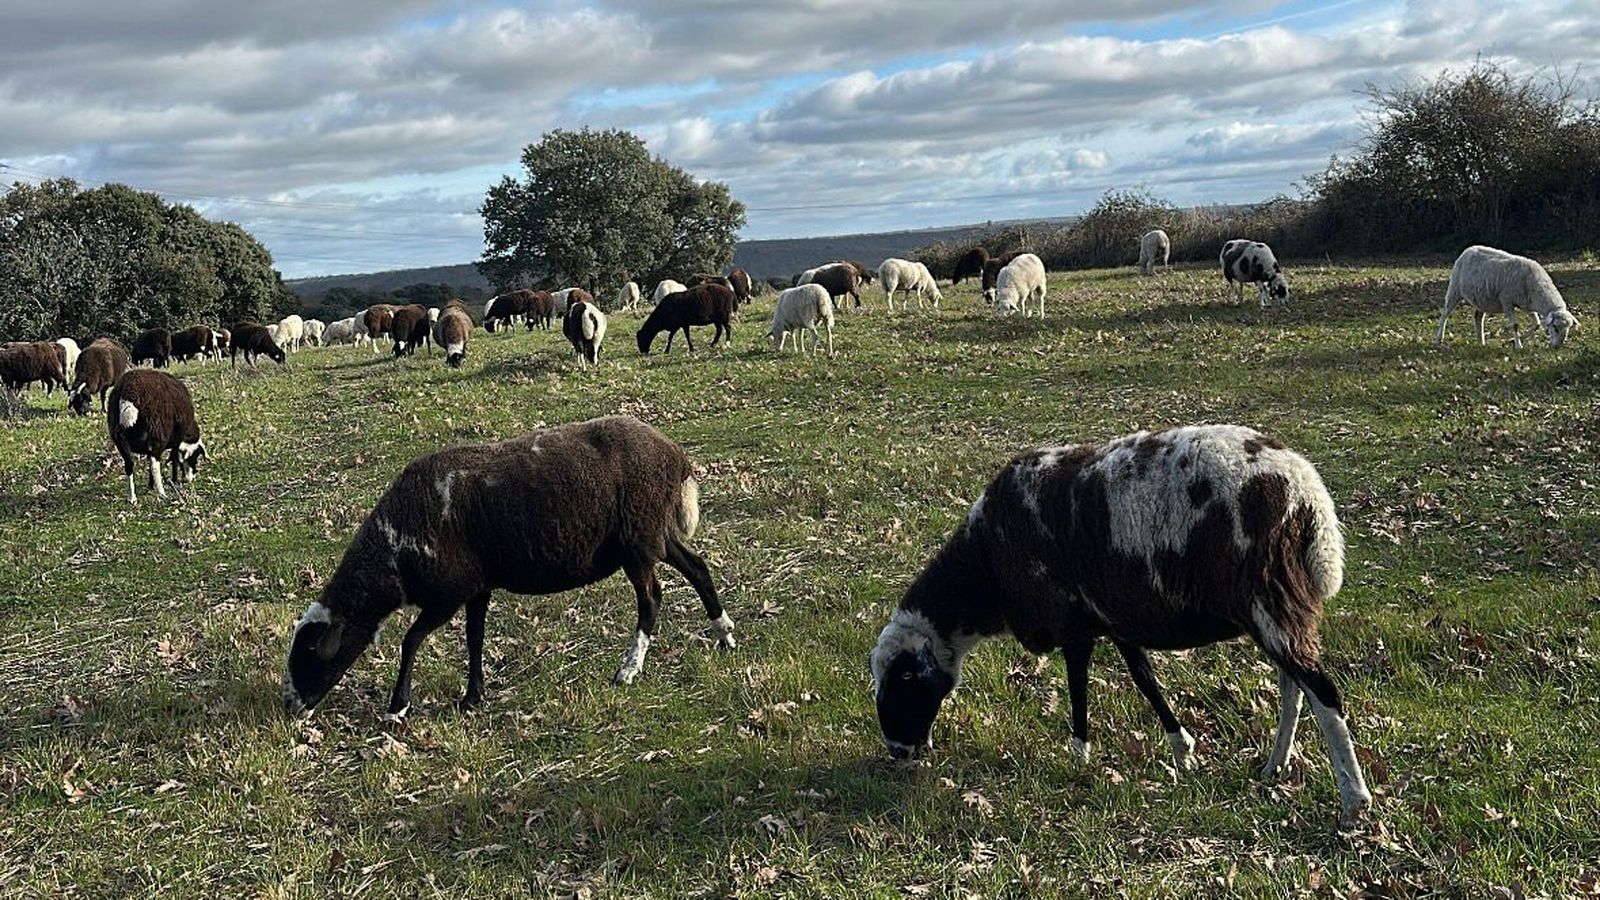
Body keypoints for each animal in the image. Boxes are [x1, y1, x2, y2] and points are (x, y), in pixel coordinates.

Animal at [107, 368, 206, 505]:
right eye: (194, 457)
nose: (189, 479)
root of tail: (129, 390)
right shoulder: (176, 440)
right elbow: (174, 458)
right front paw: (174, 482)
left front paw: (150, 486)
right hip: (157, 432)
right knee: (155, 464)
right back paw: (162, 493)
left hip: (118, 436)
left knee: (129, 465)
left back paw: (133, 498)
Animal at [280, 415, 735, 718]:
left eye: (310, 656)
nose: (290, 706)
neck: (394, 549)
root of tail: (675, 456)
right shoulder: (477, 587)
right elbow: (474, 639)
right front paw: (472, 697)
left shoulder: (449, 593)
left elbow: (410, 641)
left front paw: (398, 707)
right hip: (656, 533)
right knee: (698, 568)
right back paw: (725, 634)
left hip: (638, 541)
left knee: (652, 598)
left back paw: (629, 669)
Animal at [869, 424, 1373, 826]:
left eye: (904, 679)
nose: (897, 753)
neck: (987, 570)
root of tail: (1308, 496)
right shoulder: (1115, 620)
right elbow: (1144, 680)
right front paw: (1182, 748)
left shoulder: (1071, 622)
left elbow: (1078, 688)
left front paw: (1078, 757)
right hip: (1276, 606)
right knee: (1293, 687)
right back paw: (1274, 767)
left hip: (1269, 600)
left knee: (1322, 692)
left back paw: (1353, 801)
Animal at [1436, 245, 1578, 350]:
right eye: (1555, 327)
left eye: (1568, 329)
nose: (1557, 347)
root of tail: (1468, 249)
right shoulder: (1507, 301)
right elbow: (1515, 325)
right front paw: (1518, 345)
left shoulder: (1526, 304)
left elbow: (1537, 324)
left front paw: (1513, 340)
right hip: (1454, 289)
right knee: (1445, 314)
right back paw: (1439, 338)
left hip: (1481, 299)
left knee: (1478, 317)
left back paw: (1481, 341)